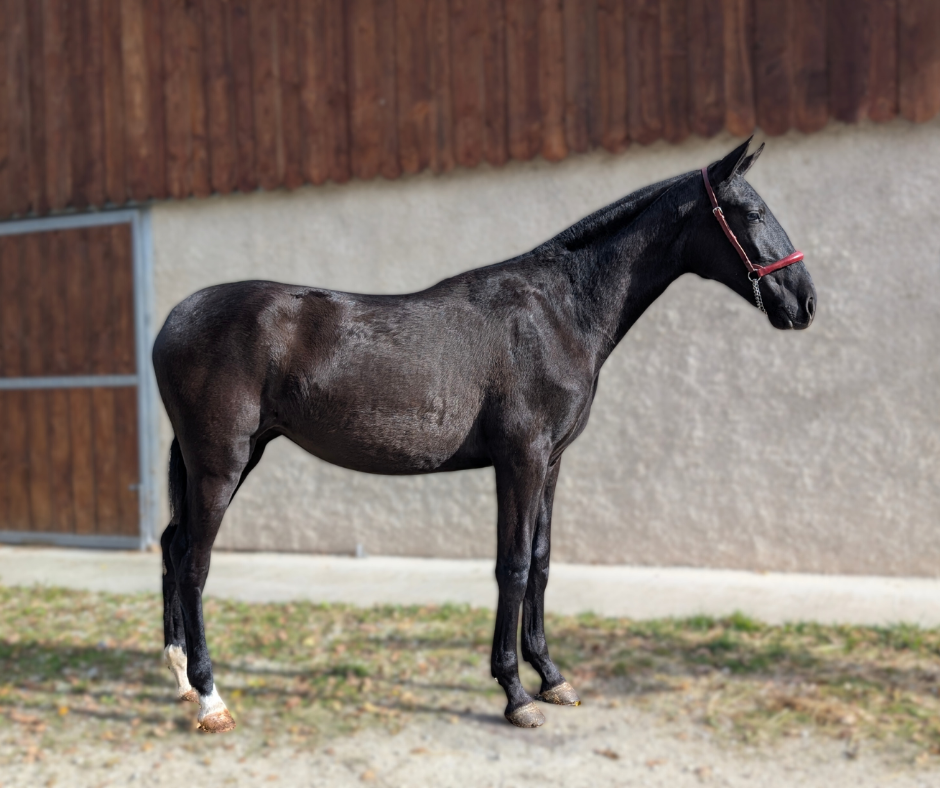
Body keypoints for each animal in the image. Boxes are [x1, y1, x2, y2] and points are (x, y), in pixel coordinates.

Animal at [153, 139, 816, 732]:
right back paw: (211, 699)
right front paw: (516, 694)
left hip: (230, 459)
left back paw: (181, 677)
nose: (805, 302)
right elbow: (514, 566)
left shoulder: (551, 463)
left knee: (170, 544)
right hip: (221, 463)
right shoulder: (520, 460)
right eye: (752, 213)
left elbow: (542, 562)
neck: (558, 313)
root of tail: (172, 322)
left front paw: (552, 678)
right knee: (194, 562)